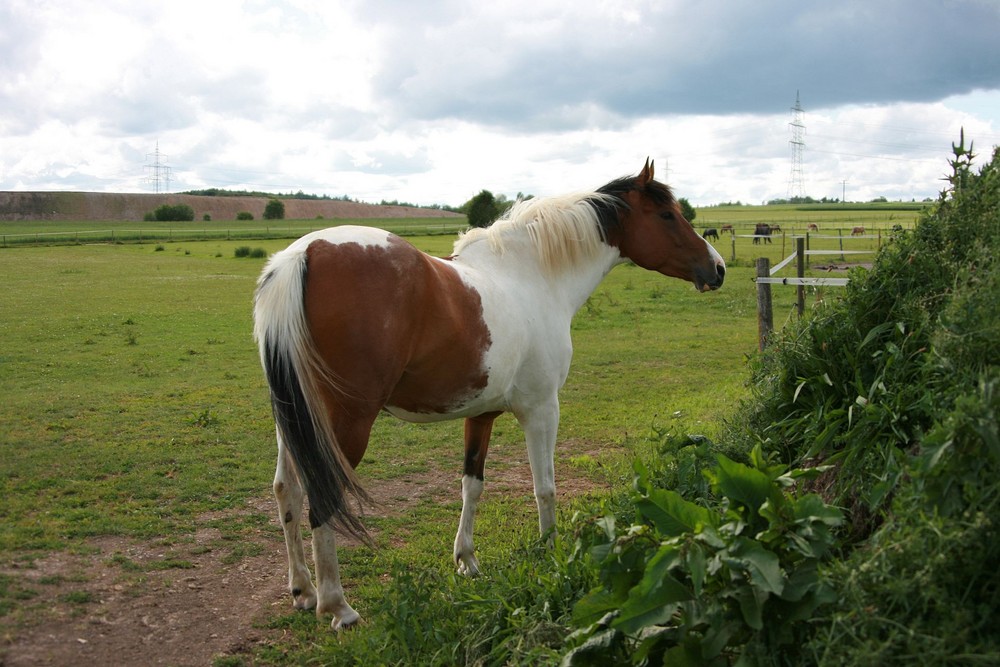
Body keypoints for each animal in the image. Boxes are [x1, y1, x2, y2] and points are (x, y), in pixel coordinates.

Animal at [254, 159, 728, 628]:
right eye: (667, 215)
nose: (718, 268)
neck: (532, 277)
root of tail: (305, 254)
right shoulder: (542, 409)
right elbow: (544, 486)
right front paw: (552, 553)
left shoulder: (480, 414)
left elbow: (472, 485)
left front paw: (467, 560)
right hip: (345, 425)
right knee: (322, 497)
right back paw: (337, 606)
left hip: (295, 420)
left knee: (287, 491)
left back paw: (303, 590)